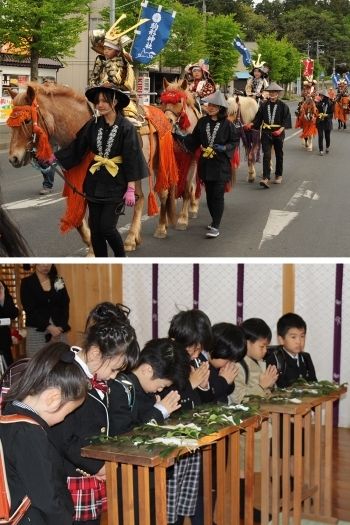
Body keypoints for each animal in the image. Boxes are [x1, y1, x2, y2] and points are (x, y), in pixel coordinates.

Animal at [7, 82, 178, 254]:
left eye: (27, 120)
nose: (13, 158)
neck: (78, 126)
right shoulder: (77, 183)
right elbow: (78, 220)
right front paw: (90, 242)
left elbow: (92, 220)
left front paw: (92, 252)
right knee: (140, 197)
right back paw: (133, 238)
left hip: (157, 163)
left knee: (162, 192)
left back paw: (160, 228)